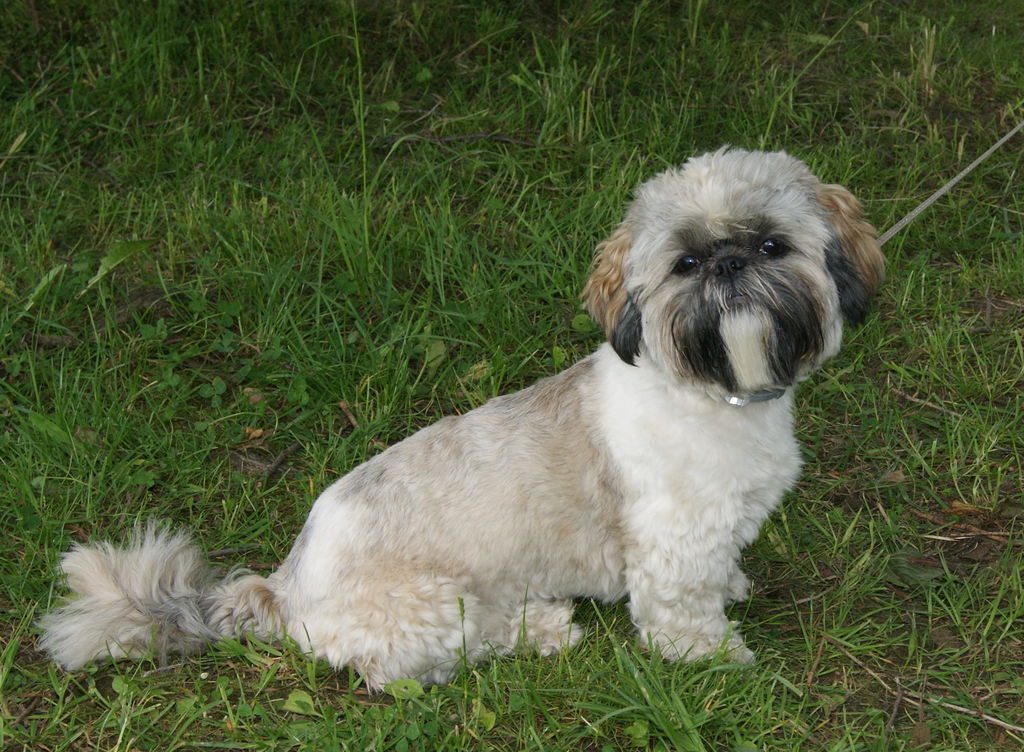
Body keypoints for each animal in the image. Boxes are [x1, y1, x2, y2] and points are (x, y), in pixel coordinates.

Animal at [39, 147, 884, 690]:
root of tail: (283, 590)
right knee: (446, 656)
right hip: (436, 612)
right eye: (684, 264)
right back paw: (542, 630)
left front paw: (733, 588)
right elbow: (680, 610)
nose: (730, 266)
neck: (713, 391)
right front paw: (711, 657)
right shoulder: (672, 542)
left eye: (772, 244)